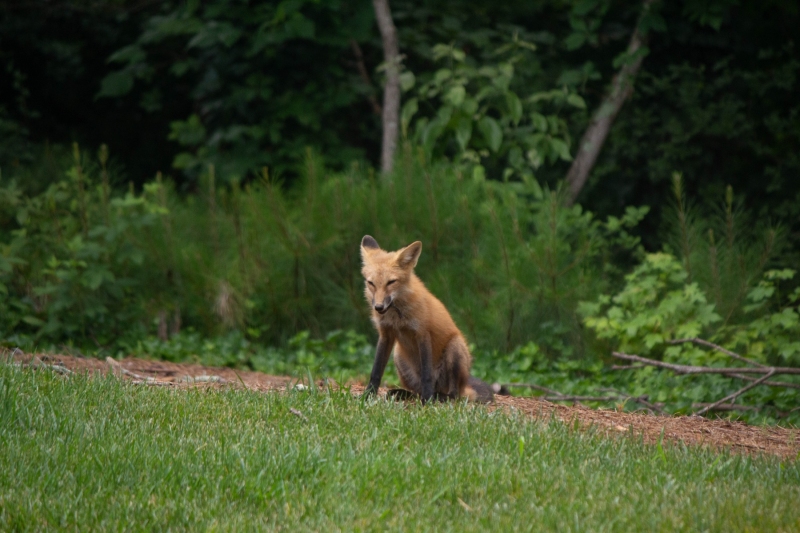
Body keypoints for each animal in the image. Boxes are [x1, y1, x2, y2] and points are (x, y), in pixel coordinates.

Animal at [359, 235, 494, 403]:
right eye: (371, 283)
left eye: (391, 282)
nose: (378, 307)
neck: (397, 316)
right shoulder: (386, 334)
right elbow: (376, 371)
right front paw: (368, 395)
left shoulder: (422, 333)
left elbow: (426, 374)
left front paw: (427, 401)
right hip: (398, 354)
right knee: (416, 391)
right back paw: (405, 394)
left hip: (455, 348)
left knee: (454, 394)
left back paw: (438, 396)